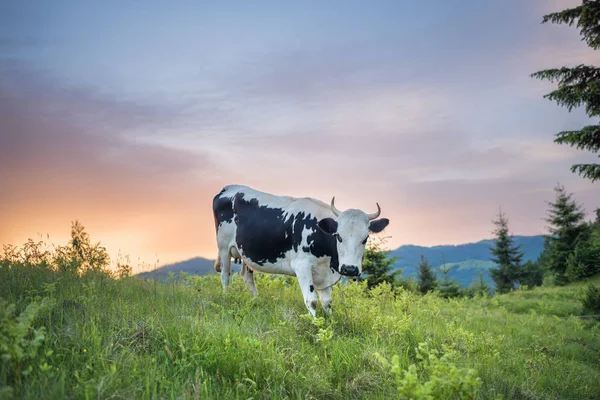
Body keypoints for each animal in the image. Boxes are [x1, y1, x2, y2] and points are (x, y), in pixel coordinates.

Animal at [211, 186, 390, 318]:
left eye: (365, 238)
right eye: (338, 236)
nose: (350, 269)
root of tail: (227, 188)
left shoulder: (323, 272)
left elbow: (327, 302)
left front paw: (331, 323)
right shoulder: (302, 266)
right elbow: (311, 301)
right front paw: (316, 326)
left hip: (246, 253)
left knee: (247, 276)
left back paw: (256, 300)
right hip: (223, 246)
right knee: (225, 276)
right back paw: (226, 298)